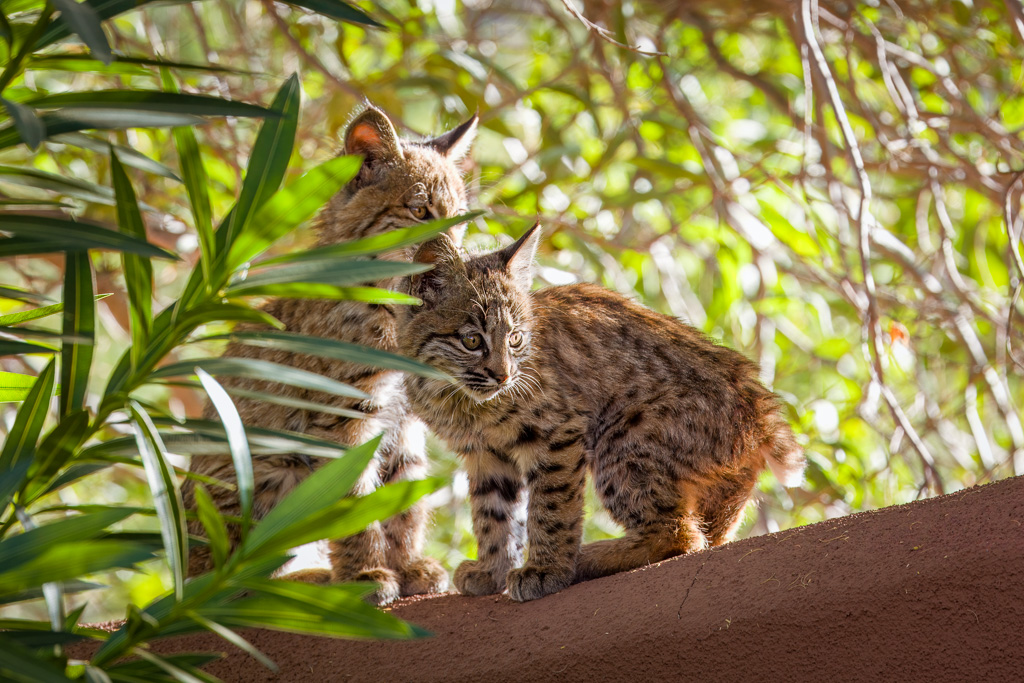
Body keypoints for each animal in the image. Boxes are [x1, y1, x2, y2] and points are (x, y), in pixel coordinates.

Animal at [182, 104, 477, 606]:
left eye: (459, 220)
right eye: (420, 212)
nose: (452, 255)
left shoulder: (404, 422)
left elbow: (403, 499)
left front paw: (407, 566)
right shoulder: (342, 418)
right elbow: (354, 500)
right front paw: (366, 576)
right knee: (215, 586)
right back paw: (308, 582)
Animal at [395, 227, 802, 602]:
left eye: (515, 339)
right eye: (472, 341)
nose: (504, 376)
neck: (453, 391)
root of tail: (761, 404)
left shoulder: (557, 432)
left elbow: (551, 505)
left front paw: (545, 570)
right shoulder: (485, 452)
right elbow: (491, 514)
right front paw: (491, 571)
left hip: (622, 435)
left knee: (681, 535)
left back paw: (587, 559)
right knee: (706, 528)